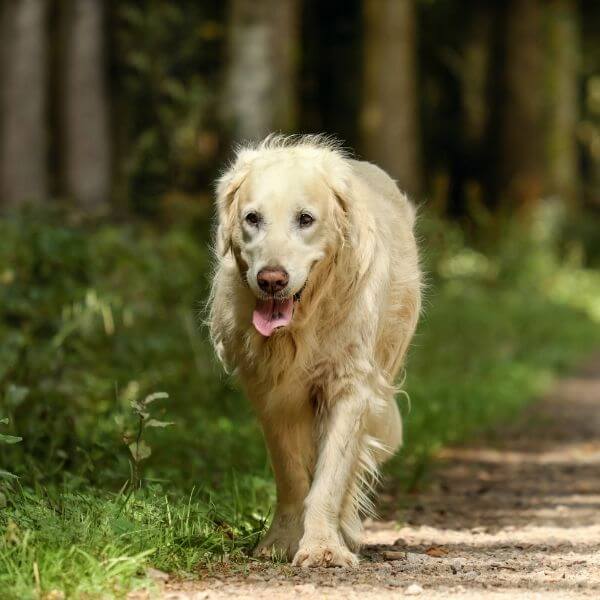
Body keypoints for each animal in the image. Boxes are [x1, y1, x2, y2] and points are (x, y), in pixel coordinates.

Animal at [211, 136, 422, 568]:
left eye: (305, 219)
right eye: (252, 218)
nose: (271, 280)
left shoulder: (351, 386)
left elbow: (332, 475)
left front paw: (324, 546)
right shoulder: (270, 394)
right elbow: (291, 473)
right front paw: (282, 540)